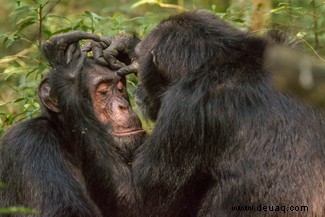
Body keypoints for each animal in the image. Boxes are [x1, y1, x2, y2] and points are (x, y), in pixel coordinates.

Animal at [0, 31, 145, 216]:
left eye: (120, 89)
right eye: (103, 92)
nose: (123, 106)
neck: (68, 143)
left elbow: (134, 201)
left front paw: (125, 45)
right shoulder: (29, 143)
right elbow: (63, 211)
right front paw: (67, 73)